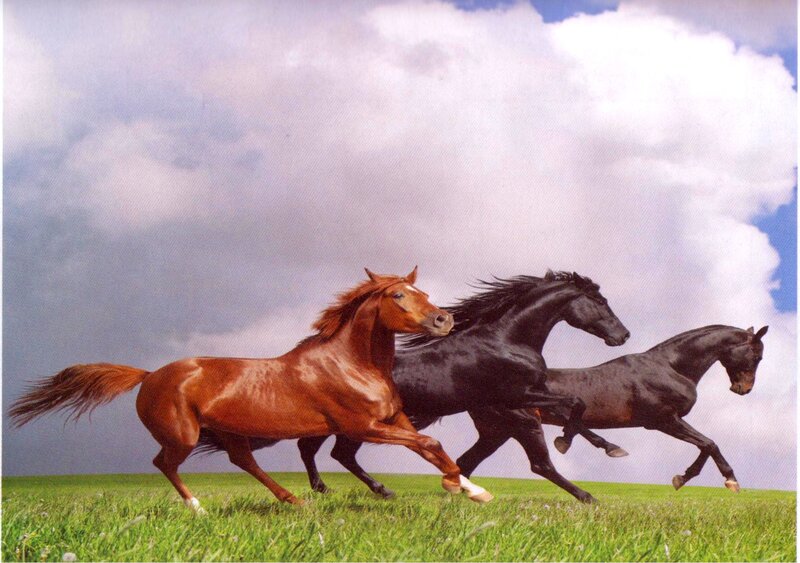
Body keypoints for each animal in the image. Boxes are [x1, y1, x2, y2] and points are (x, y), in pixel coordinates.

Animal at [10, 267, 496, 513]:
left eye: (423, 291)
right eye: (398, 296)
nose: (444, 320)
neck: (351, 364)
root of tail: (148, 375)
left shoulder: (393, 418)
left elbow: (430, 447)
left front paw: (471, 489)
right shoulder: (362, 425)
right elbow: (429, 443)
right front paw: (459, 488)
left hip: (229, 430)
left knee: (243, 461)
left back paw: (293, 500)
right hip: (183, 434)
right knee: (164, 462)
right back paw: (198, 507)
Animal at [197, 271, 631, 503]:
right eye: (602, 303)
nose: (623, 335)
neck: (508, 339)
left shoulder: (521, 401)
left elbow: (575, 410)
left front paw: (609, 447)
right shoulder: (517, 398)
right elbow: (572, 408)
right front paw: (577, 450)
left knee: (322, 450)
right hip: (354, 424)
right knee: (329, 452)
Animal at [460, 325, 768, 493]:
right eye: (757, 354)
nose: (743, 389)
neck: (669, 367)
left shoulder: (668, 421)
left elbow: (705, 445)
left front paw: (682, 478)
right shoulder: (663, 420)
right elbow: (709, 443)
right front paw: (729, 480)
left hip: (497, 432)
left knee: (466, 464)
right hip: (523, 425)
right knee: (540, 465)